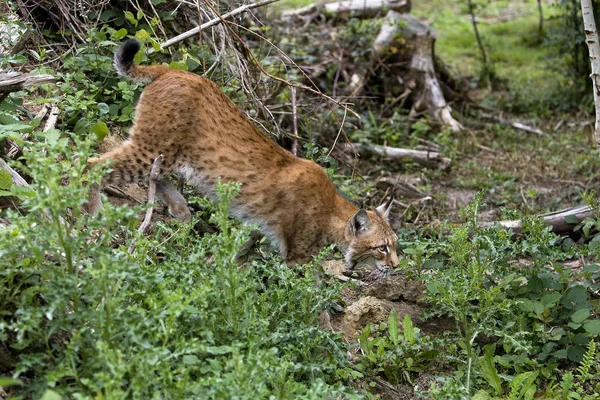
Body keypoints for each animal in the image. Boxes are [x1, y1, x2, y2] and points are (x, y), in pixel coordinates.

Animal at [88, 39, 398, 270]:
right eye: (382, 248)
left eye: (395, 245)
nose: (396, 266)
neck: (333, 210)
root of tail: (170, 71)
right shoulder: (297, 256)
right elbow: (303, 296)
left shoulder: (260, 229)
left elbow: (242, 250)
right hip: (151, 146)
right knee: (90, 163)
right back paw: (94, 221)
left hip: (165, 152)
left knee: (152, 175)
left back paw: (181, 210)